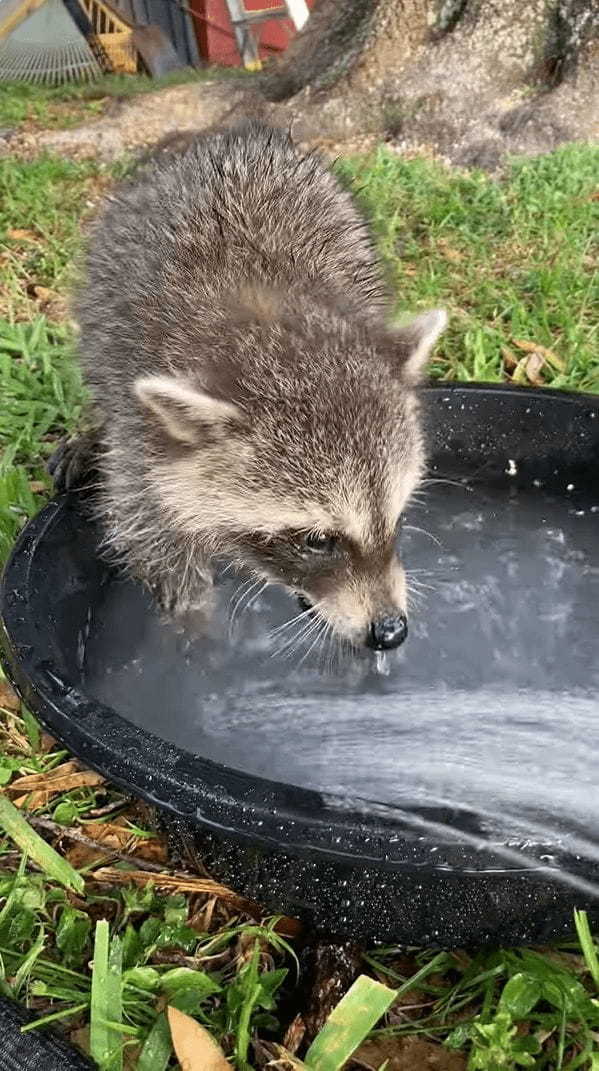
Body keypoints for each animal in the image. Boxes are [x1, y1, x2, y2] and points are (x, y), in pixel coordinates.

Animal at [55, 121, 445, 646]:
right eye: (318, 540)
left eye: (399, 516)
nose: (390, 631)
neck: (270, 324)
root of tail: (230, 134)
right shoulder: (141, 432)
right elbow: (150, 531)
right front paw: (197, 628)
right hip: (103, 288)